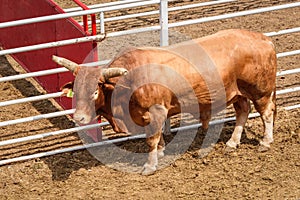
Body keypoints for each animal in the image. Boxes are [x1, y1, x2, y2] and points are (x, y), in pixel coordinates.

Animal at [53, 28, 276, 174]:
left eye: (94, 92)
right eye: (76, 91)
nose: (79, 118)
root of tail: (263, 39)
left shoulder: (156, 111)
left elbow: (151, 138)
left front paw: (150, 165)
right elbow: (157, 137)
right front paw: (160, 152)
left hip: (260, 91)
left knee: (266, 112)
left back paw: (265, 141)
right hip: (237, 92)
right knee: (243, 111)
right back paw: (232, 141)